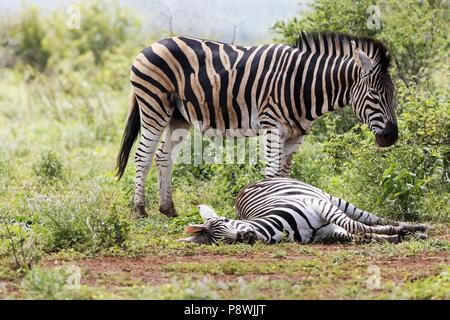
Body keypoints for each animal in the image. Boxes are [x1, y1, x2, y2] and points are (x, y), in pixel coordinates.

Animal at [115, 32, 398, 218]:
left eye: (393, 94)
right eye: (375, 94)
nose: (392, 137)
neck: (303, 84)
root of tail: (153, 44)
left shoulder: (296, 135)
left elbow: (285, 175)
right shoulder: (272, 125)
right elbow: (272, 173)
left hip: (178, 116)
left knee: (163, 157)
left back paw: (168, 209)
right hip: (154, 105)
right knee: (143, 156)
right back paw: (139, 210)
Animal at [178, 178, 426, 245]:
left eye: (227, 220)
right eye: (221, 242)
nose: (244, 236)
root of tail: (248, 184)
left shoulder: (320, 206)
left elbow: (356, 226)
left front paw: (398, 232)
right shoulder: (328, 232)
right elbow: (359, 234)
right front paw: (393, 237)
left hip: (330, 199)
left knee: (370, 218)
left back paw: (414, 226)